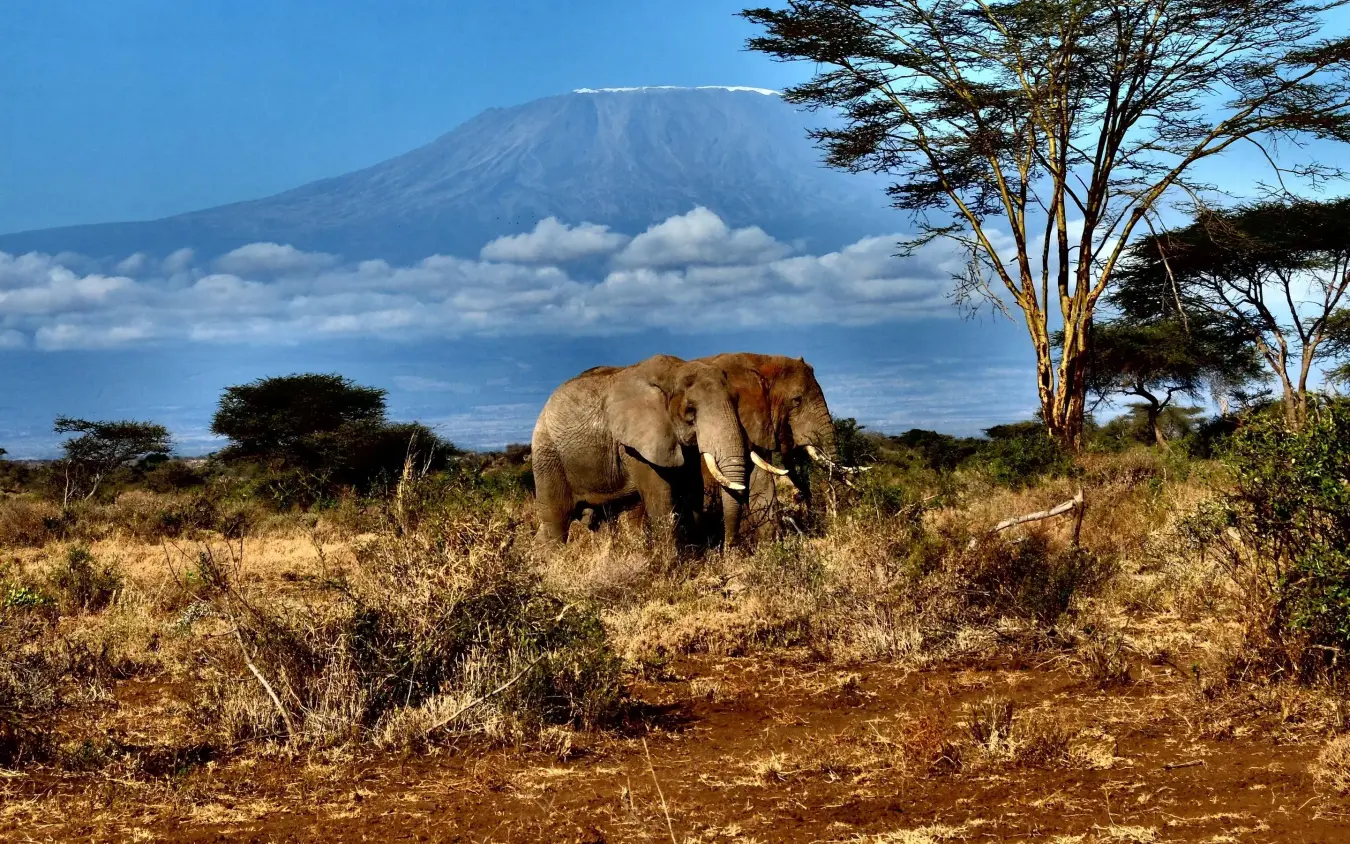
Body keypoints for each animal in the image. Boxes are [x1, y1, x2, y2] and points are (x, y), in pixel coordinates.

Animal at [530, 354, 749, 550]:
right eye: (690, 411)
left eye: (737, 400)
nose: (729, 549)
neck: (674, 371)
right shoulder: (635, 445)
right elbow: (660, 499)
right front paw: (670, 560)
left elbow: (692, 489)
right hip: (548, 456)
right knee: (556, 519)